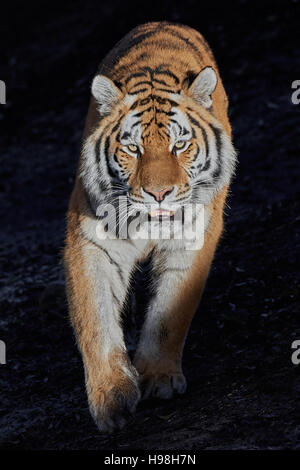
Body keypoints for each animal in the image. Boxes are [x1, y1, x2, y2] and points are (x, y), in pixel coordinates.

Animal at [63, 22, 237, 434]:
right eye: (133, 149)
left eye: (180, 145)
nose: (159, 194)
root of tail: (164, 22)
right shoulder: (92, 242)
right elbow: (96, 320)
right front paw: (111, 398)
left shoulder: (193, 240)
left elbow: (170, 312)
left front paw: (158, 378)